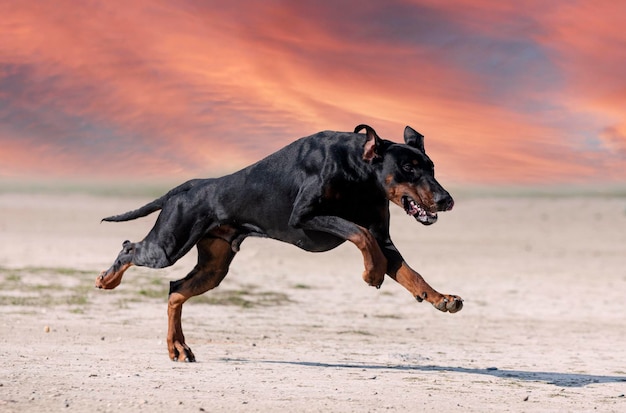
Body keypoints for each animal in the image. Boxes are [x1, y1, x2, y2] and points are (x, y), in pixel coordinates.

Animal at [96, 123, 458, 360]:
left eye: (431, 167)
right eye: (408, 167)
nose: (446, 200)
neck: (359, 171)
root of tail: (187, 186)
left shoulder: (383, 237)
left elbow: (409, 272)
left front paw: (441, 298)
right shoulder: (306, 217)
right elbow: (360, 234)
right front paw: (372, 273)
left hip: (214, 267)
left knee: (175, 290)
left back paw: (178, 348)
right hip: (168, 245)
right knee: (130, 248)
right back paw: (107, 279)